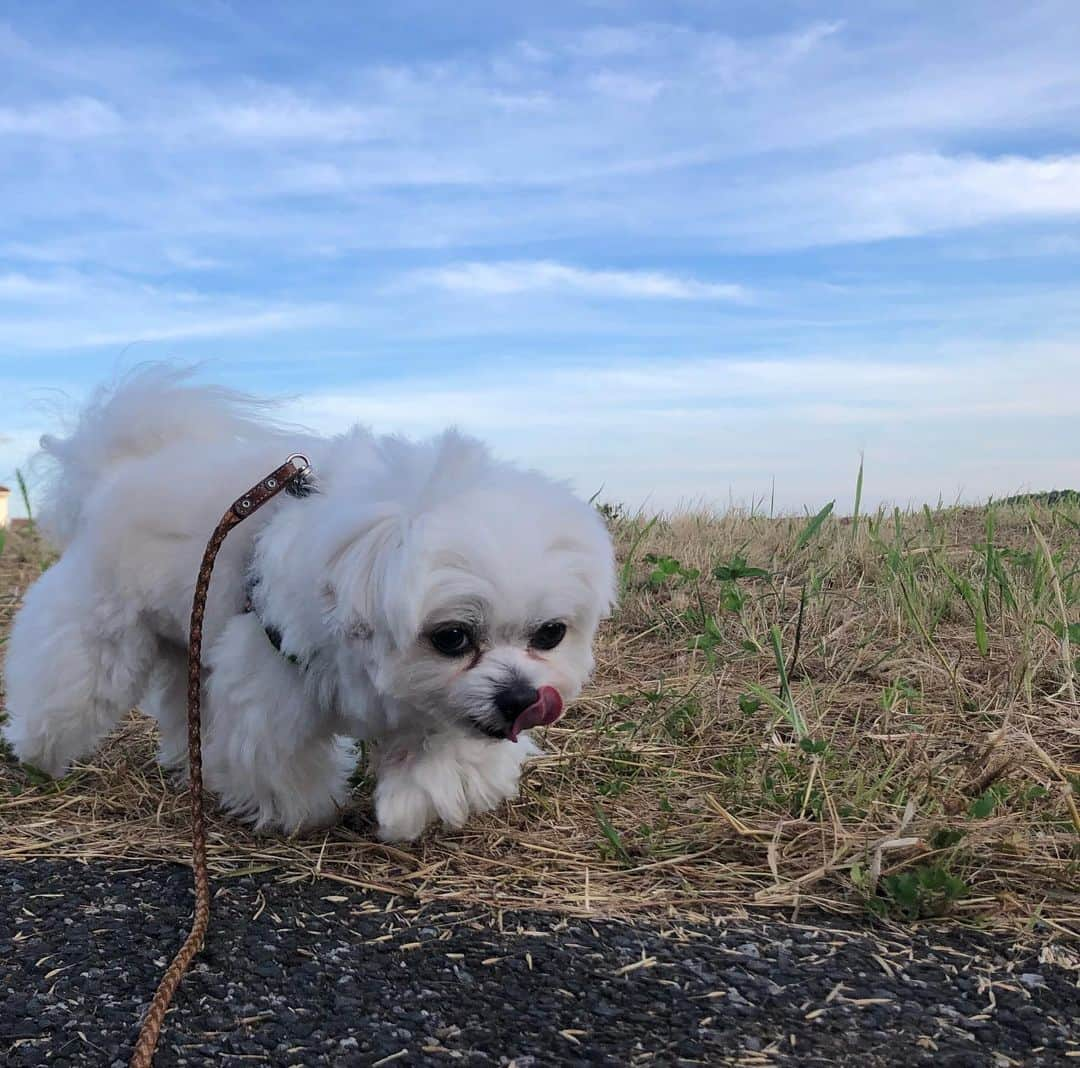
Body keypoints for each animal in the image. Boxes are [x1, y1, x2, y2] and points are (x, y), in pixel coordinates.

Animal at [2, 367, 617, 842]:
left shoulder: (454, 711)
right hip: (97, 638)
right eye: (451, 638)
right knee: (65, 689)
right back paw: (37, 756)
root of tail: (118, 471)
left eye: (550, 633)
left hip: (190, 644)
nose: (522, 698)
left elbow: (448, 754)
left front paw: (406, 806)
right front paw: (310, 812)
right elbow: (279, 762)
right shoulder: (268, 687)